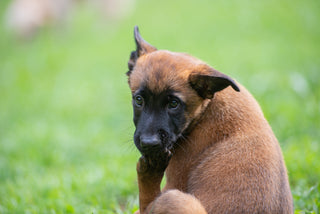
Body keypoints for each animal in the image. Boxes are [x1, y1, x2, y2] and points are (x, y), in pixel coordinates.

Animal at [127, 25, 292, 213]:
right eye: (139, 100)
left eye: (174, 104)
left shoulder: (175, 178)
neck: (205, 110)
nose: (149, 143)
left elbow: (143, 207)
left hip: (174, 198)